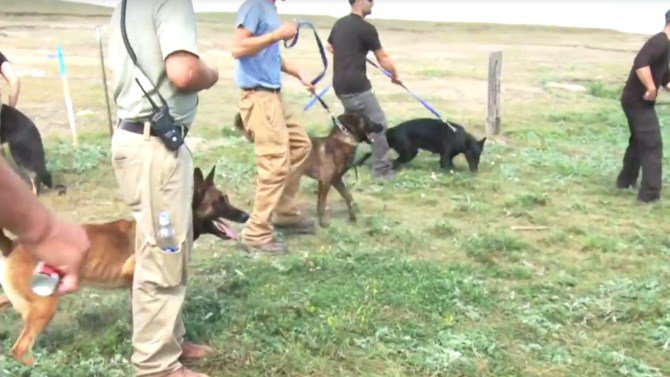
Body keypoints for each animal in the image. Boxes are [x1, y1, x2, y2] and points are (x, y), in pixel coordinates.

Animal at [0, 165, 249, 364]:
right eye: (218, 203)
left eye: (226, 198)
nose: (246, 215)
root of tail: (13, 245)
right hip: (43, 307)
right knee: (20, 350)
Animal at [236, 113, 384, 228]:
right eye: (368, 120)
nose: (382, 125)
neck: (342, 141)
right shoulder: (325, 182)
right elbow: (321, 204)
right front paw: (322, 223)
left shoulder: (336, 180)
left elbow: (348, 197)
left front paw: (352, 217)